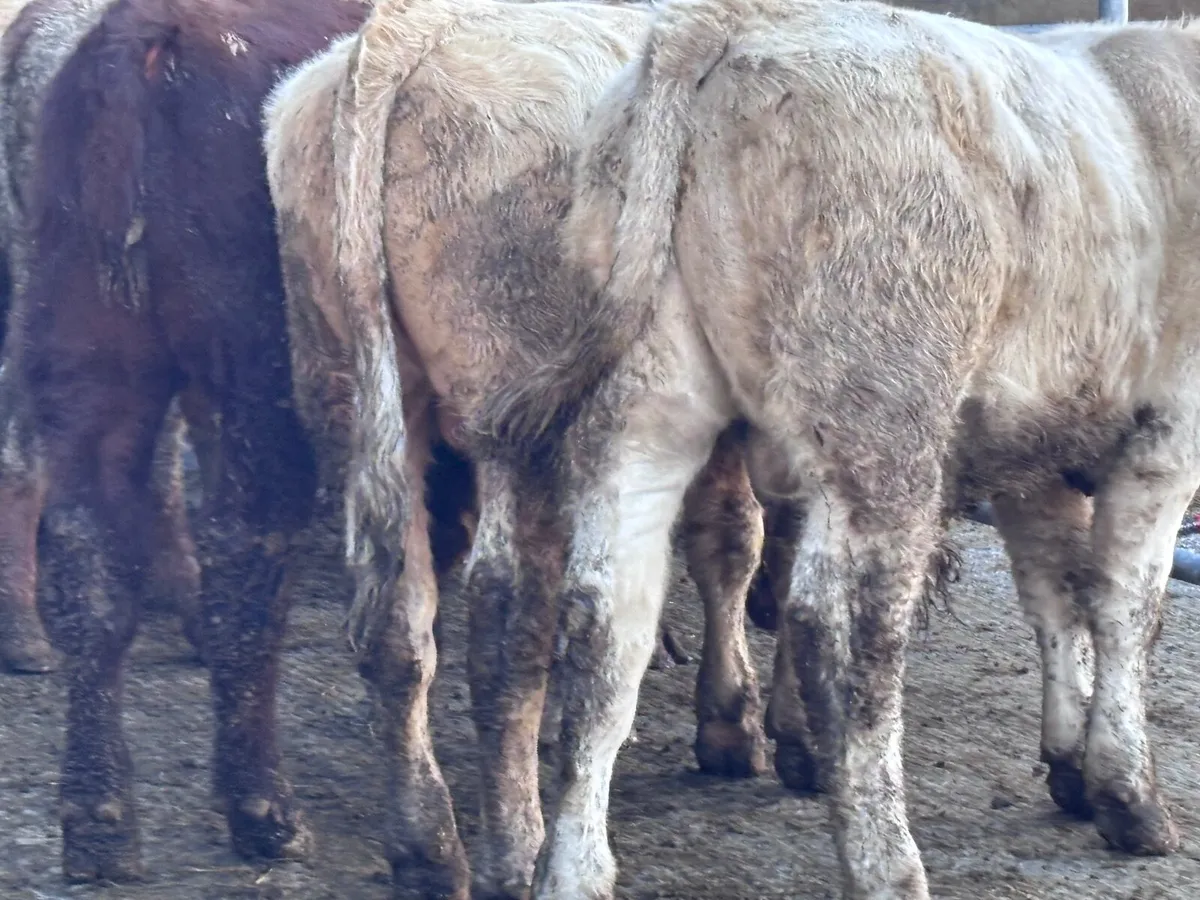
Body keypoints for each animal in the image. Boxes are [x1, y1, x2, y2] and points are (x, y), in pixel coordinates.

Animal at [264, 0, 774, 894]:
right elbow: (731, 542)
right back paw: (519, 847)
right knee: (504, 629)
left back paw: (426, 846)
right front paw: (733, 720)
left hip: (346, 387)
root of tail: (402, 35)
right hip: (520, 422)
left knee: (396, 622)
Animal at [516, 0, 1200, 896]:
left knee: (603, 625)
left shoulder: (1036, 454)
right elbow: (1125, 609)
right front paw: (1128, 795)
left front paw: (1071, 766)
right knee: (840, 633)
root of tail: (723, 26)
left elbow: (1055, 597)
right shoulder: (1167, 433)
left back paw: (573, 865)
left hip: (645, 408)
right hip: (883, 425)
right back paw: (888, 864)